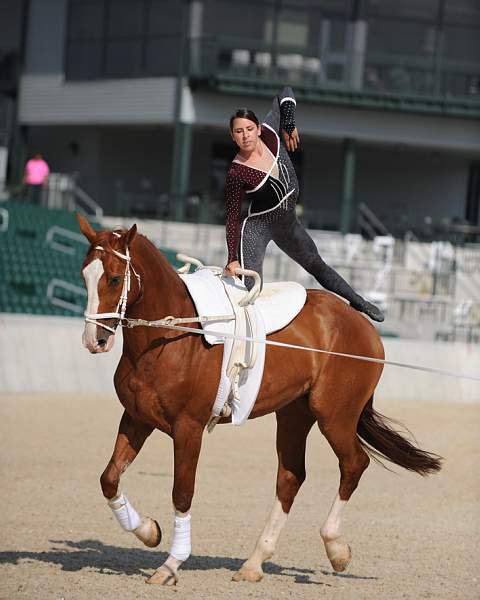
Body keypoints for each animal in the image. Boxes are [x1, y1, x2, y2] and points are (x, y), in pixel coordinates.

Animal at [78, 217, 438, 584]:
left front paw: (171, 564)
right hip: (295, 414)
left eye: (114, 278)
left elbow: (182, 492)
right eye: (84, 275)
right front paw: (149, 531)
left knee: (353, 464)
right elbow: (109, 478)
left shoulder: (188, 428)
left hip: (334, 415)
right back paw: (254, 562)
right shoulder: (136, 418)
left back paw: (336, 548)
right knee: (291, 476)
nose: (95, 340)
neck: (169, 336)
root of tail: (364, 326)